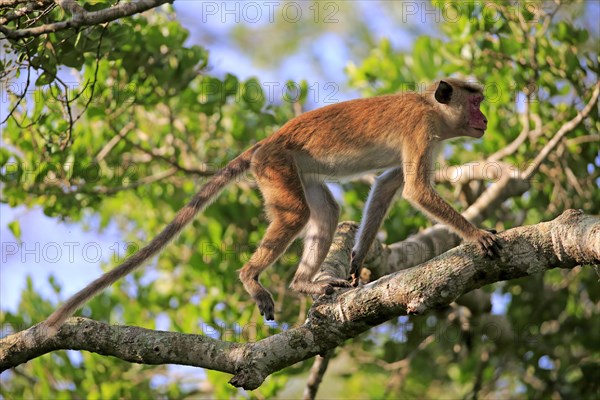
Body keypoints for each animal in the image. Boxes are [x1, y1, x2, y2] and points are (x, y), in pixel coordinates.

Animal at [43, 76, 502, 332]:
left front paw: (356, 260)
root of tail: (265, 143)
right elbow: (415, 191)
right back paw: (252, 277)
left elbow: (390, 183)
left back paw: (303, 283)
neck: (430, 107)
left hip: (296, 170)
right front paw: (477, 234)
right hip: (276, 167)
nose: (484, 120)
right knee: (297, 213)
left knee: (325, 213)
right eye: (475, 102)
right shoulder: (421, 128)